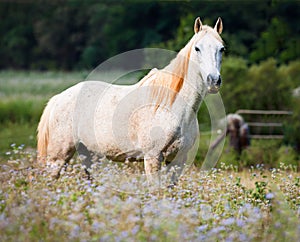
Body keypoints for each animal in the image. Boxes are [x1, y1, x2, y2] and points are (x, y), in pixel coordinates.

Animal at [37, 18, 224, 182]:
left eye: (221, 48)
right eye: (197, 48)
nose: (213, 80)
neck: (172, 107)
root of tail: (58, 98)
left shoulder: (177, 159)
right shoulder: (152, 157)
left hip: (89, 155)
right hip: (58, 157)